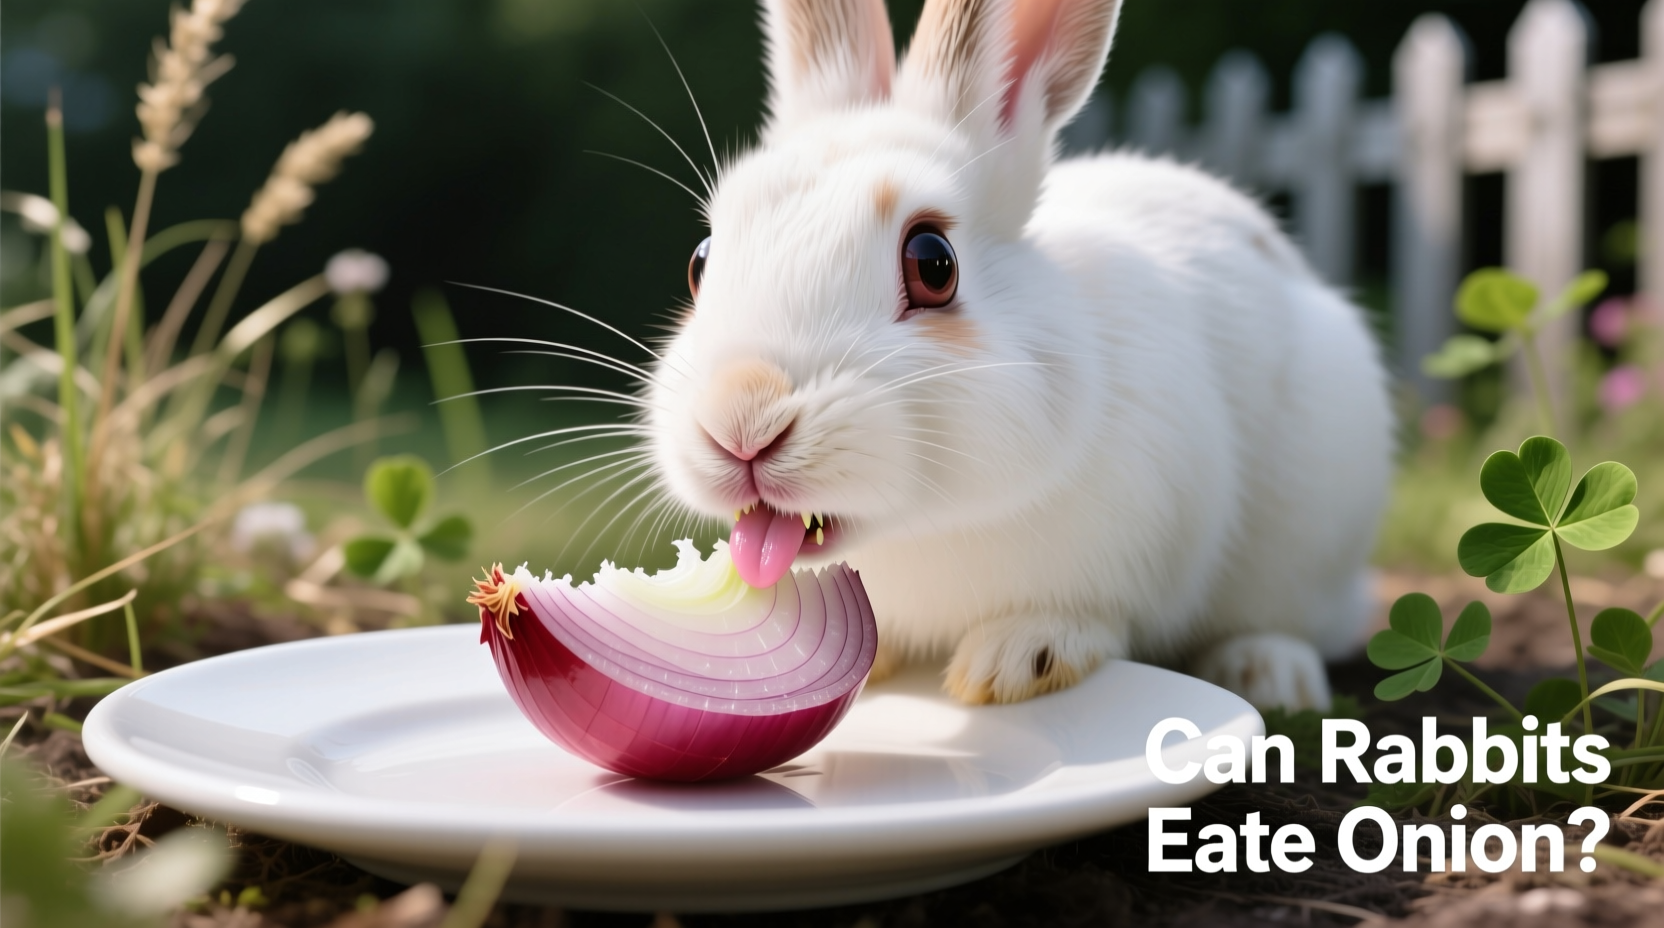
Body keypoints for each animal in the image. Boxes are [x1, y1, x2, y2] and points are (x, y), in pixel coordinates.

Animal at [640, 0, 1394, 711]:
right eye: (700, 262)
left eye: (933, 265)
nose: (741, 423)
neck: (922, 527)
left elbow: (1094, 617)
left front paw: (1018, 659)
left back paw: (1268, 670)